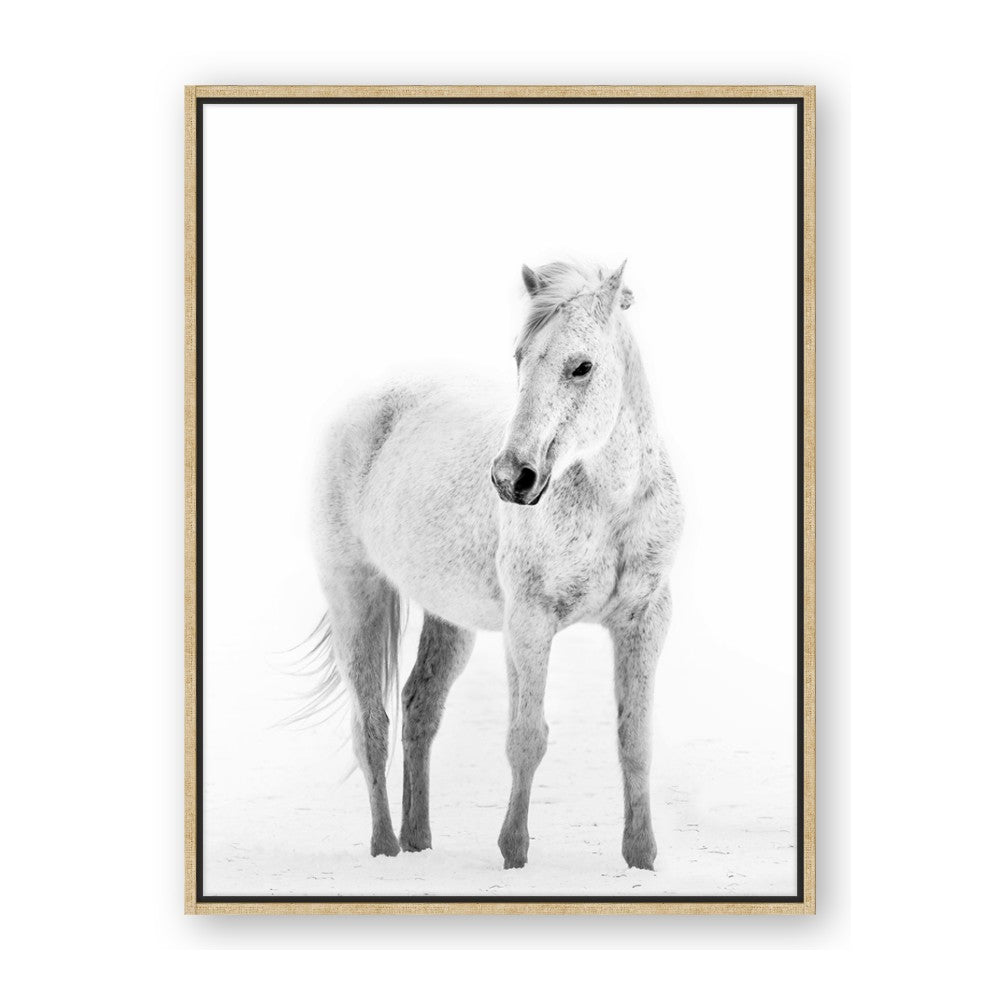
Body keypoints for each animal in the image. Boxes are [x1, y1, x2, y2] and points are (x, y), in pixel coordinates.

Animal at [308, 260, 683, 870]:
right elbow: (526, 738)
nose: (512, 478)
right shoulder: (529, 623)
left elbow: (635, 741)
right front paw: (514, 854)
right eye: (520, 358)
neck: (612, 504)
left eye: (582, 366)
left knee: (419, 708)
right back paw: (386, 849)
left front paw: (641, 859)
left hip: (448, 619)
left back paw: (418, 841)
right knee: (372, 725)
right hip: (354, 595)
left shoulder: (646, 619)